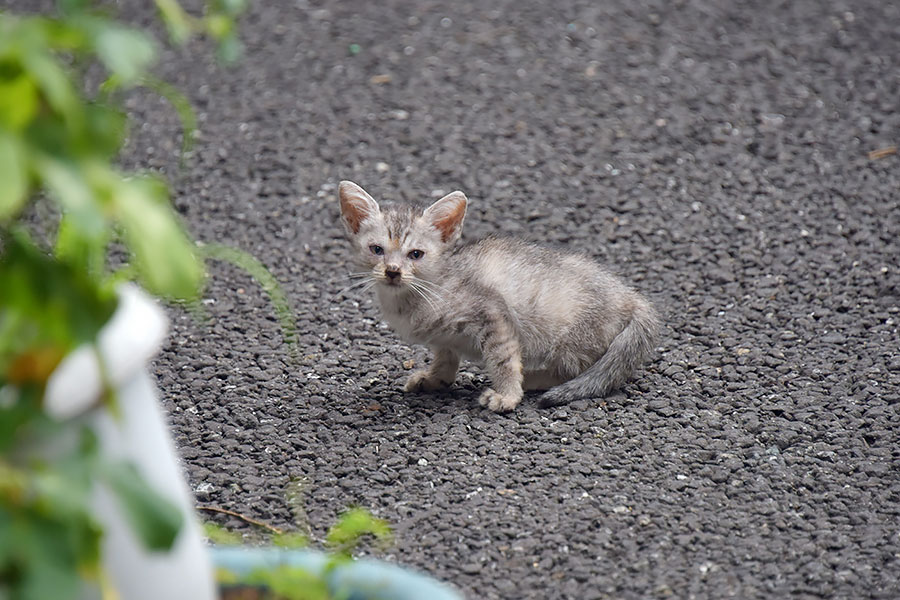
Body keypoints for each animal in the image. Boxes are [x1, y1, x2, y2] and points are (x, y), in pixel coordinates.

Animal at [338, 178, 660, 412]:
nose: (392, 271)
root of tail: (633, 298)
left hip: (570, 339)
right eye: (376, 249)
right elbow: (445, 355)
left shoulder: (493, 312)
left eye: (415, 254)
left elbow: (503, 359)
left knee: (572, 371)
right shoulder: (444, 337)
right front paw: (435, 378)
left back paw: (532, 379)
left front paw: (507, 395)